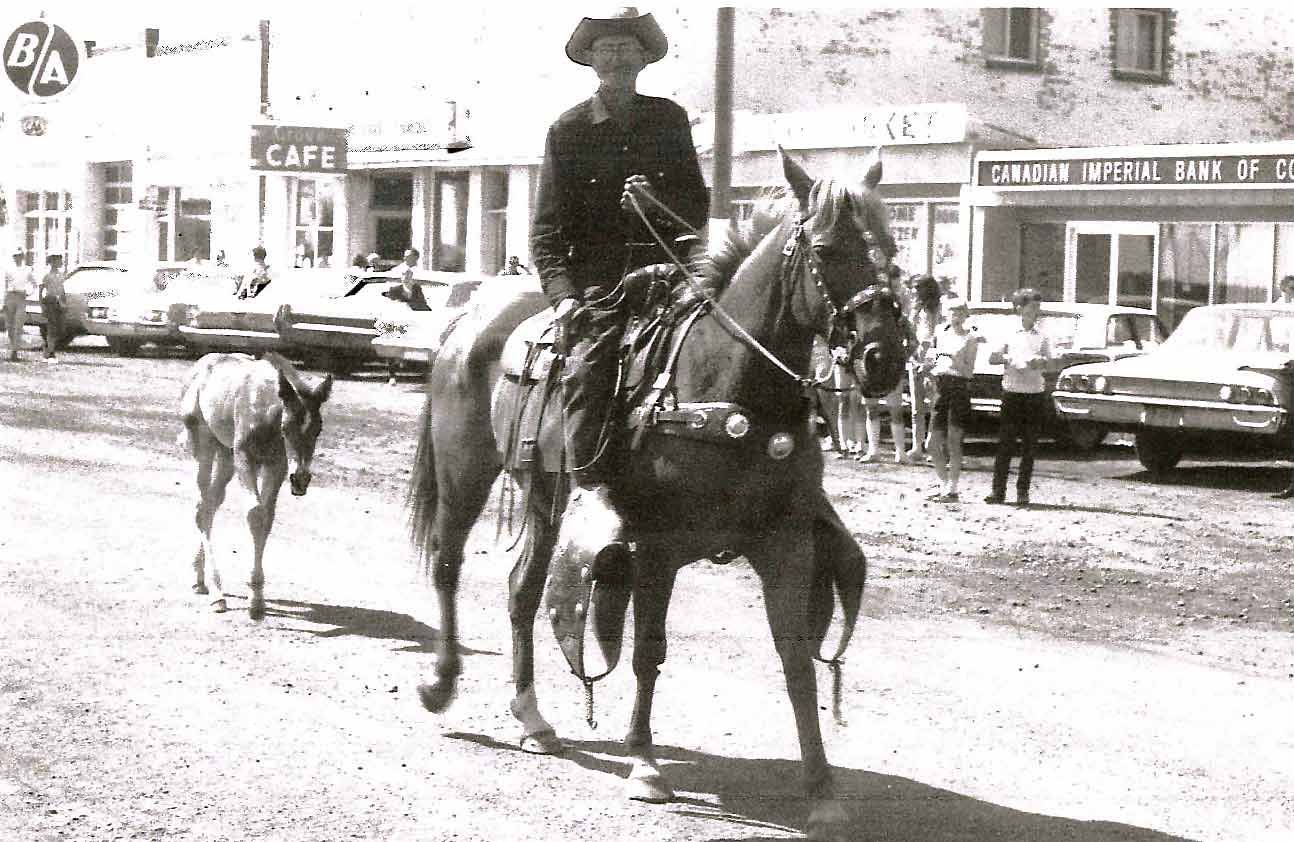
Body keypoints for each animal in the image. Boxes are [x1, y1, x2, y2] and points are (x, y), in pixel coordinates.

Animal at [182, 349, 333, 618]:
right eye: (287, 427)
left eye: (318, 429)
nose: (301, 479)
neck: (265, 412)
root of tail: (200, 366)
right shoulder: (246, 459)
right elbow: (254, 513)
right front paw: (254, 602)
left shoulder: (277, 467)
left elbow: (267, 518)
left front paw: (257, 597)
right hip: (205, 445)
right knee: (201, 509)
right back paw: (217, 592)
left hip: (226, 454)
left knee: (211, 504)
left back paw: (201, 580)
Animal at [408, 148, 905, 838]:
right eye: (828, 248)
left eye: (891, 247)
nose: (886, 357)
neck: (727, 386)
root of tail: (468, 319)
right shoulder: (658, 549)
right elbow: (648, 651)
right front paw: (644, 764)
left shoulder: (785, 545)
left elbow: (797, 661)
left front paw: (821, 787)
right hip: (465, 477)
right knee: (449, 565)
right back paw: (441, 682)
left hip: (545, 495)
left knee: (522, 590)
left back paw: (532, 716)